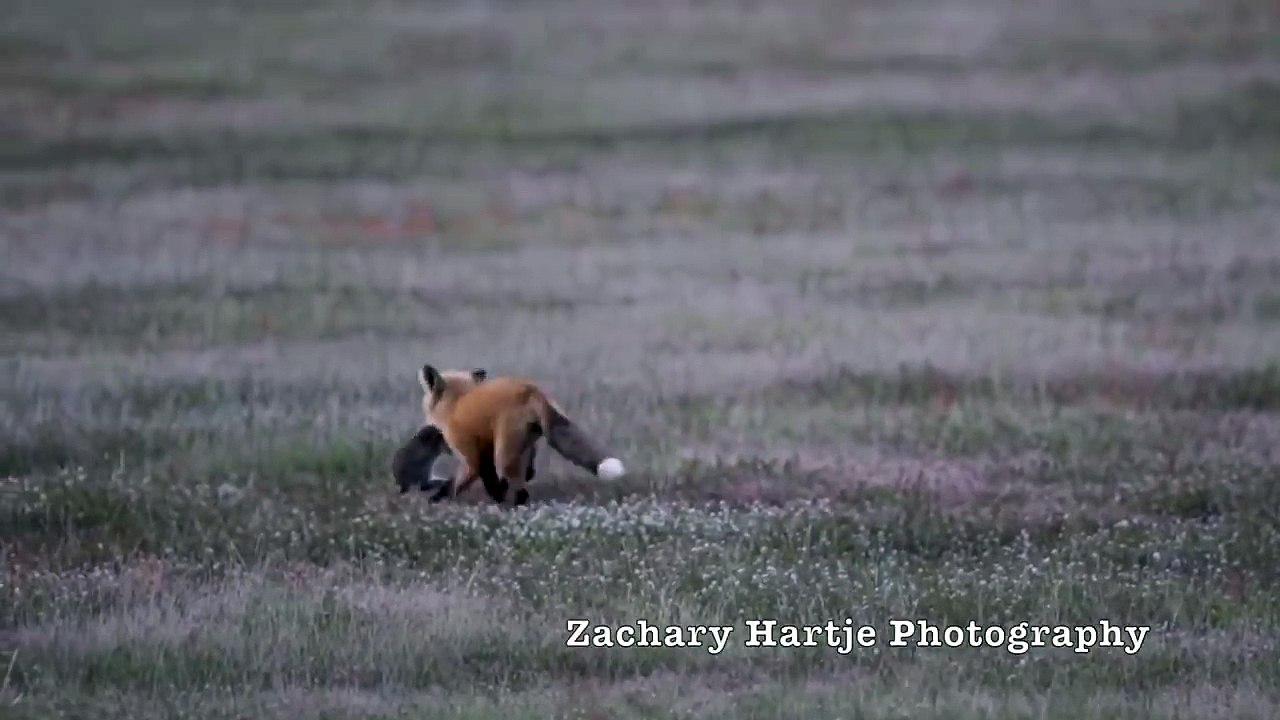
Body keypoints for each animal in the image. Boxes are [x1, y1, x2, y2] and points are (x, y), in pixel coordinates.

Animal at [418, 363, 625, 507]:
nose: (423, 428)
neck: (456, 404)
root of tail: (531, 389)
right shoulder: (491, 449)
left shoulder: (472, 457)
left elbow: (456, 485)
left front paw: (435, 501)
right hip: (521, 446)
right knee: (521, 479)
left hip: (503, 455)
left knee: (520, 491)